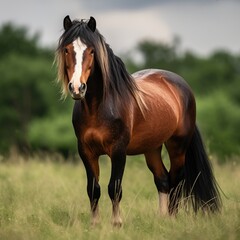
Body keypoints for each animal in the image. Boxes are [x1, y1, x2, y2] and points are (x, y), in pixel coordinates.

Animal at [55, 15, 221, 226]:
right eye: (67, 49)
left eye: (92, 51)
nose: (77, 88)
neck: (99, 107)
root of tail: (183, 87)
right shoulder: (86, 151)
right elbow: (93, 189)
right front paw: (95, 224)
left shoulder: (118, 151)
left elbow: (114, 187)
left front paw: (116, 223)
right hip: (152, 148)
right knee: (162, 179)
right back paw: (161, 218)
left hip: (177, 146)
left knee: (176, 179)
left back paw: (171, 218)